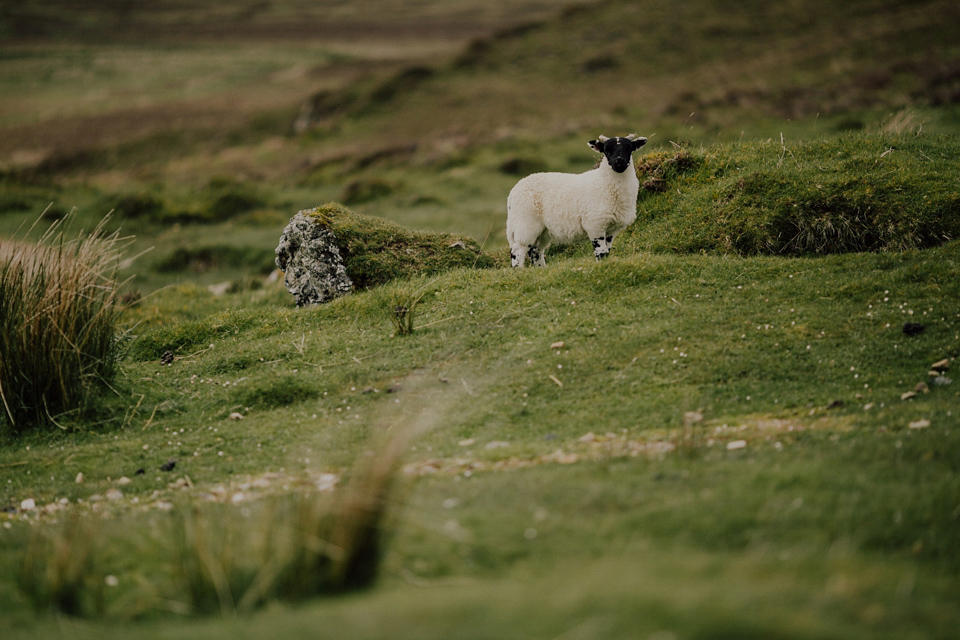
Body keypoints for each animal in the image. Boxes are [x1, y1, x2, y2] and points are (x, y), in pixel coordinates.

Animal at [506, 134, 648, 266]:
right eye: (606, 150)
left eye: (629, 148)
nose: (619, 162)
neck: (603, 181)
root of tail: (512, 193)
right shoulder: (595, 224)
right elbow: (601, 252)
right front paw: (601, 265)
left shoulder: (611, 229)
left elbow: (607, 251)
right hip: (525, 223)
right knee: (517, 251)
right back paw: (519, 271)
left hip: (543, 230)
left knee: (535, 251)